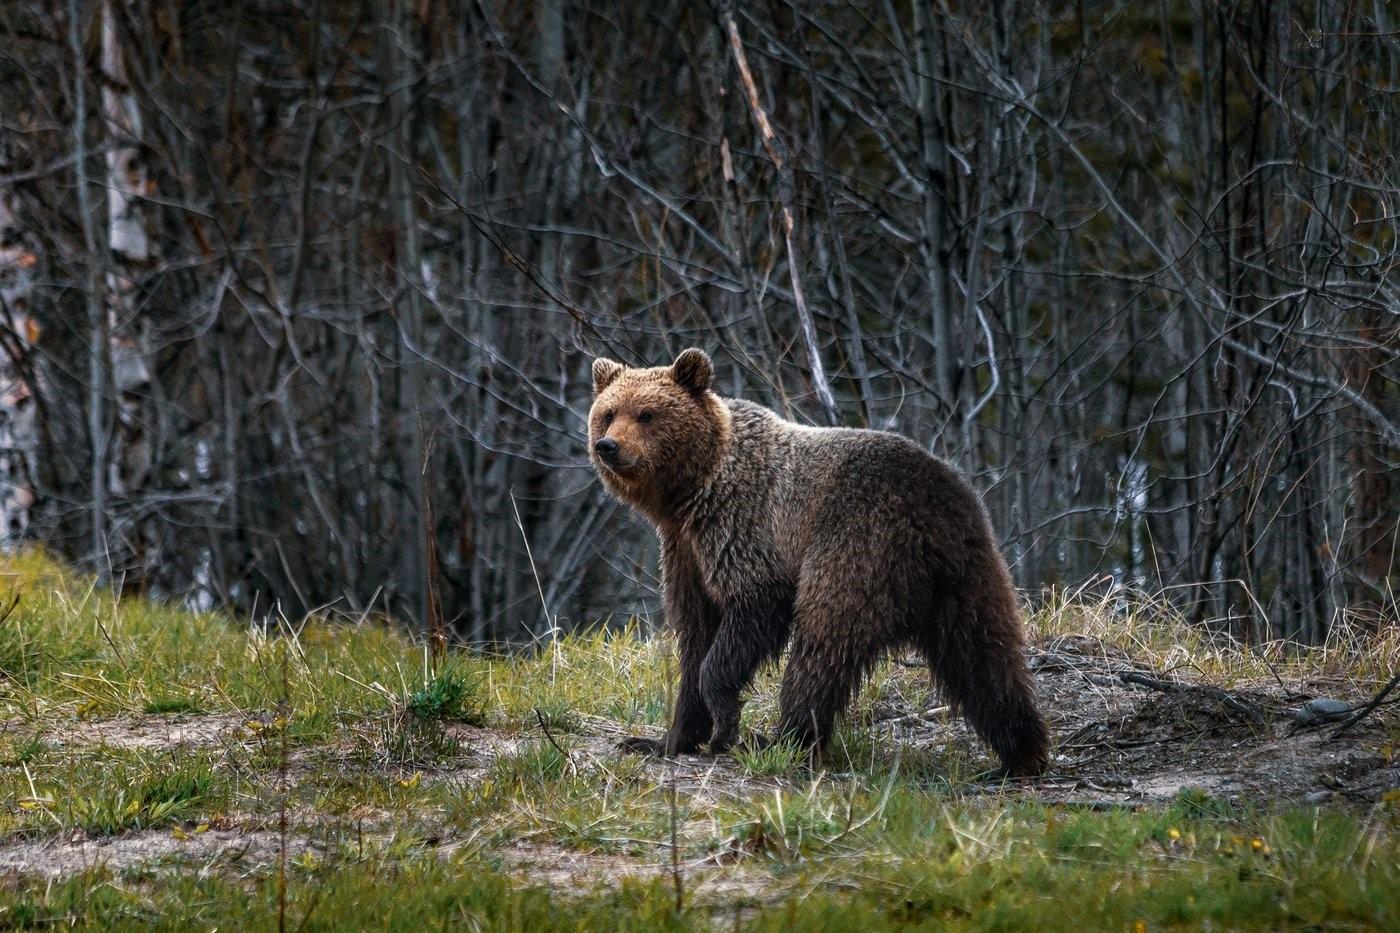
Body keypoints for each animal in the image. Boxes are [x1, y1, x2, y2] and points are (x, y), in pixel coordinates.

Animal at [585, 344, 1047, 773]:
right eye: (608, 413)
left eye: (646, 414)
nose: (609, 446)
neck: (693, 490)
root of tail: (933, 508)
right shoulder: (685, 551)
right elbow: (695, 636)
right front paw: (665, 739)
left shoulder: (744, 525)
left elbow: (750, 610)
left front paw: (725, 723)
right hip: (968, 572)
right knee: (984, 654)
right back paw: (1021, 752)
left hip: (856, 546)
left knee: (823, 645)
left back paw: (785, 739)